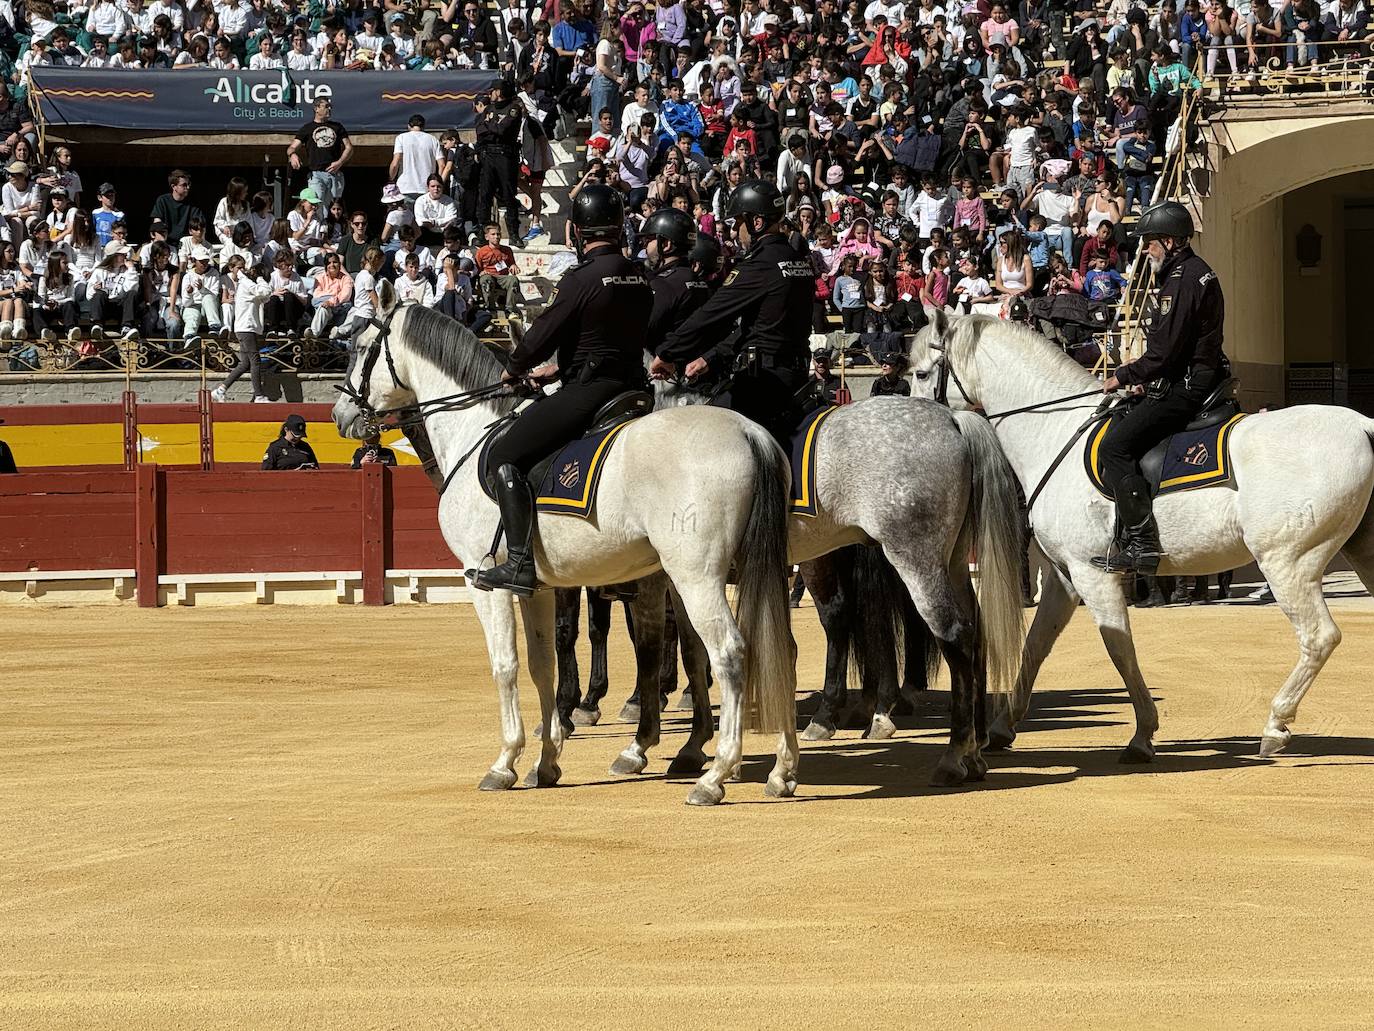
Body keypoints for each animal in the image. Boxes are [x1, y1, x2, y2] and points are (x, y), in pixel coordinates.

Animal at [906, 310, 1374, 764]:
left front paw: (1142, 735)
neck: (1055, 430)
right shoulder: (1064, 577)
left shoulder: (1092, 574)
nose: (914, 425)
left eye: (922, 373)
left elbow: (1119, 649)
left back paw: (1275, 726)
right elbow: (1036, 645)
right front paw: (1003, 728)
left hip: (1286, 563)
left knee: (1318, 637)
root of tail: (1362, 425)